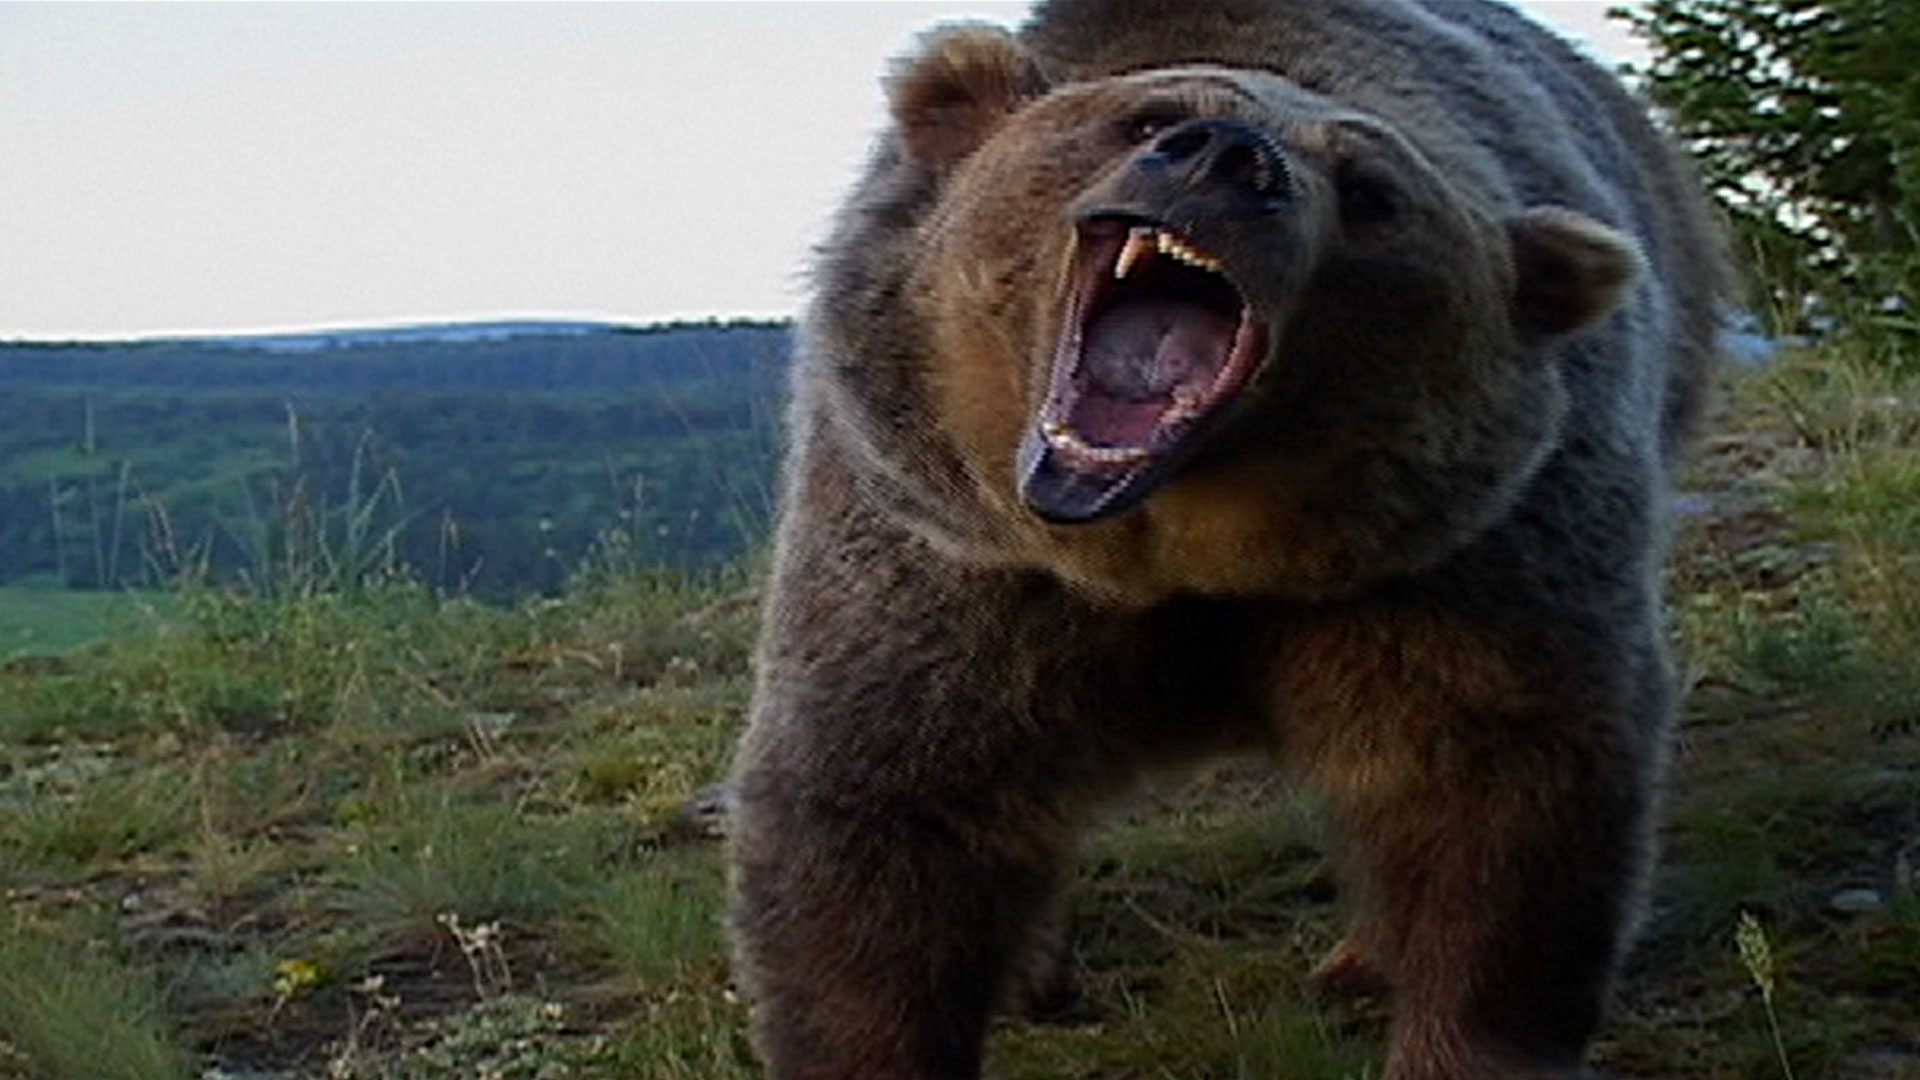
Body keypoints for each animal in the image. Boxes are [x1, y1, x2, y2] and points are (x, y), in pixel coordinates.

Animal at [725, 0, 1735, 1068]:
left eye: (1370, 191)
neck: (1179, 549)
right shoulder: (956, 561)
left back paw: (1358, 961)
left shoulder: (1461, 564)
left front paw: (1462, 1034)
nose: (1226, 158)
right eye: (1146, 118)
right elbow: (882, 816)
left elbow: (1496, 798)